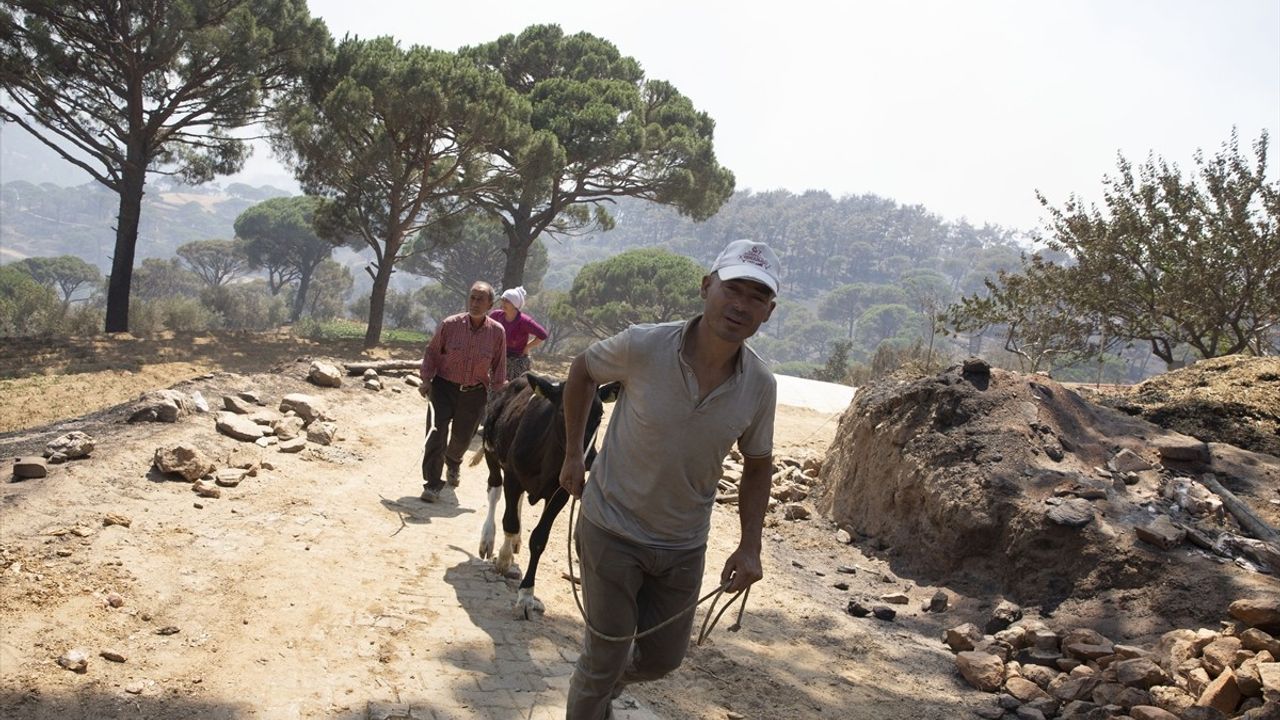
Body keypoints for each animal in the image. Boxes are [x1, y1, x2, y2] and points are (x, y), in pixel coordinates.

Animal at [478, 371, 622, 614]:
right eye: (564, 411)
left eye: (600, 414)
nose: (590, 458)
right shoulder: (513, 477)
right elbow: (509, 522)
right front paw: (504, 559)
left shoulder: (560, 494)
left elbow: (538, 539)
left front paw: (526, 595)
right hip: (491, 453)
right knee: (494, 491)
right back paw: (488, 539)